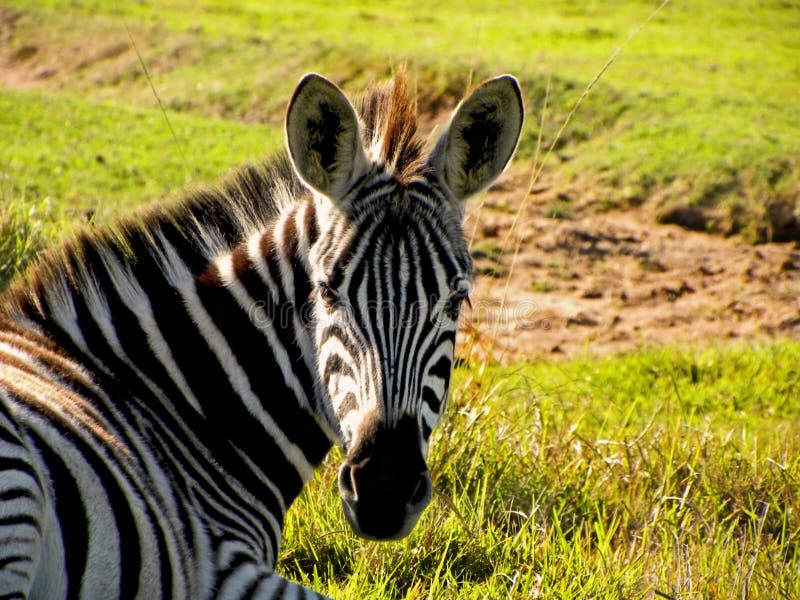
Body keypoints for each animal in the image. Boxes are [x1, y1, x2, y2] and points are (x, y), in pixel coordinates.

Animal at [0, 68, 523, 598]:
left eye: (456, 301)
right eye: (326, 292)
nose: (384, 491)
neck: (184, 406)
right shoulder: (220, 566)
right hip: (17, 486)